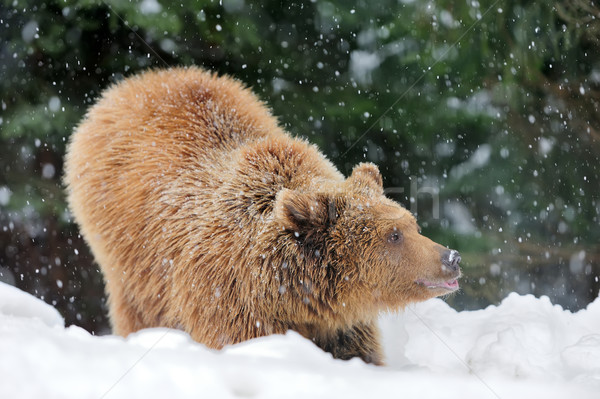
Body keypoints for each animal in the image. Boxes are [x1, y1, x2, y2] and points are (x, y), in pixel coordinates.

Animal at [64, 66, 460, 366]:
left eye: (412, 224)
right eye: (393, 235)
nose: (451, 257)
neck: (297, 296)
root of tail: (130, 85)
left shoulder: (339, 325)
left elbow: (358, 353)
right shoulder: (231, 300)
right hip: (129, 256)